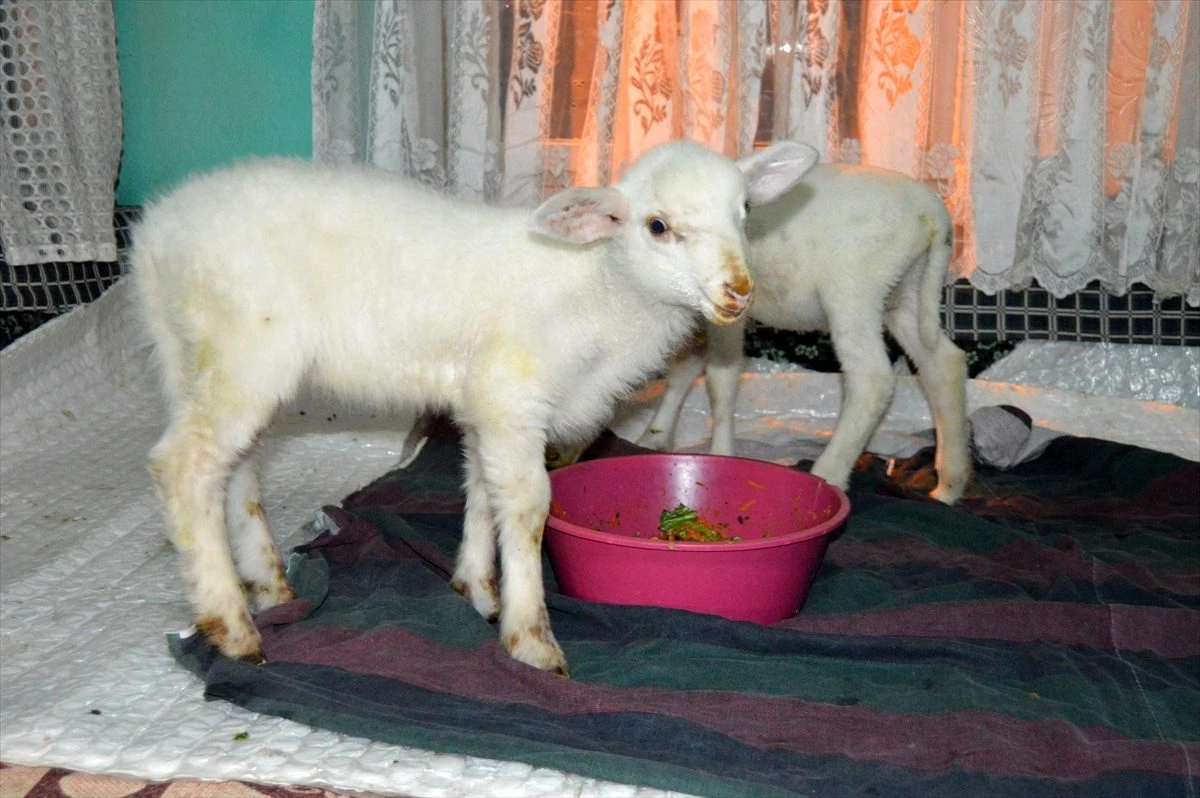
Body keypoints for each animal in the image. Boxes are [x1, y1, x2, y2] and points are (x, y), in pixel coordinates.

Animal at [136, 138, 820, 672]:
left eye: (745, 211)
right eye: (657, 226)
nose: (738, 292)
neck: (597, 284)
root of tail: (154, 236)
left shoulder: (483, 398)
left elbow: (481, 487)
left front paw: (476, 587)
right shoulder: (511, 391)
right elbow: (527, 503)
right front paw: (529, 636)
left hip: (201, 355)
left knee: (234, 466)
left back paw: (270, 586)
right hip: (248, 345)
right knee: (184, 466)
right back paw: (231, 625)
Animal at [643, 163, 969, 504]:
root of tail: (933, 217)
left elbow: (720, 380)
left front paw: (720, 454)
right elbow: (683, 369)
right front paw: (654, 436)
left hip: (855, 290)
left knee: (872, 380)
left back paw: (828, 474)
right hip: (907, 292)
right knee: (943, 364)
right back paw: (949, 486)